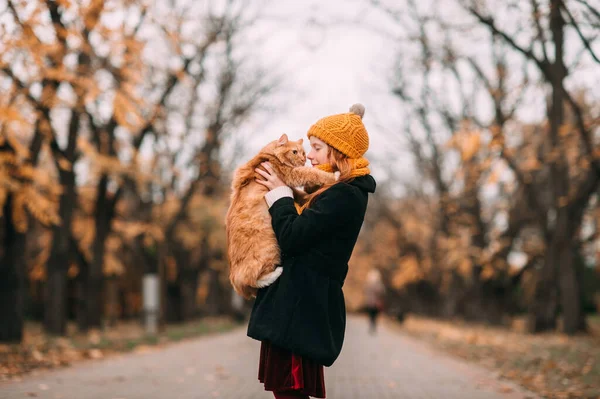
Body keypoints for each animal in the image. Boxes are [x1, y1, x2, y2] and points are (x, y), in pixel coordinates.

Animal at [225, 134, 338, 300]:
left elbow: (300, 194)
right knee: (251, 279)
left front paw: (309, 195)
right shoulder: (292, 174)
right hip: (270, 249)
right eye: (294, 152)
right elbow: (312, 173)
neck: (268, 155)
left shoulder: (289, 185)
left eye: (303, 153)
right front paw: (335, 176)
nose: (303, 159)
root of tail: (233, 275)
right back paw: (276, 273)